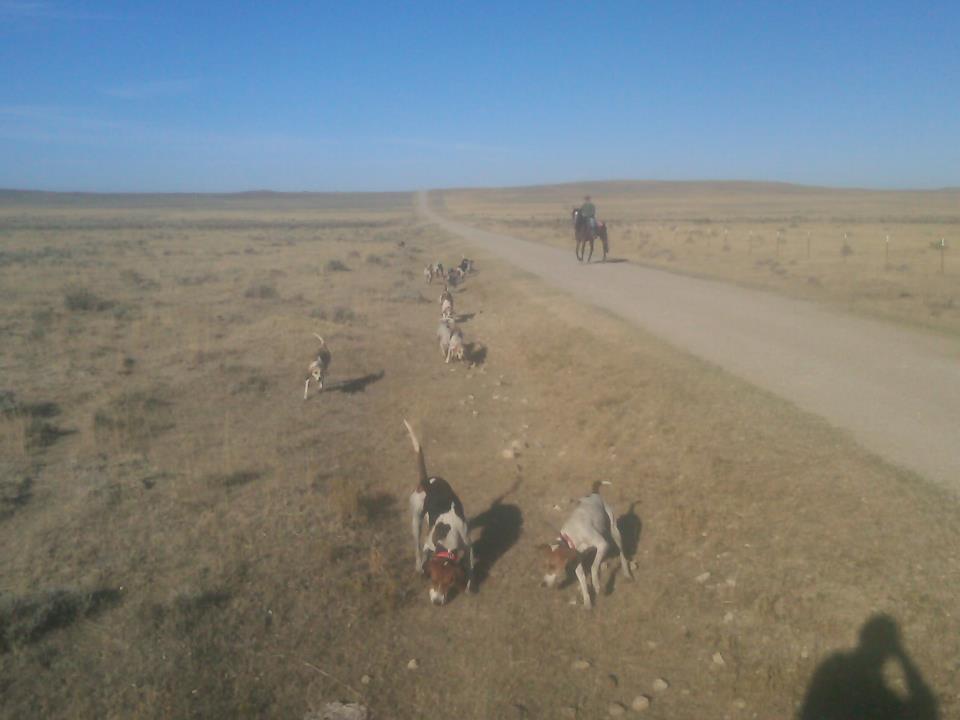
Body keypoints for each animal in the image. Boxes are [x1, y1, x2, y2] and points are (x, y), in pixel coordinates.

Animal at [404, 419, 474, 605]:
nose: (437, 602)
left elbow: (470, 568)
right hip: (416, 521)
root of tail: (426, 481)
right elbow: (425, 555)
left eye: (450, 582)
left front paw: (469, 587)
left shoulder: (468, 545)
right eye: (433, 580)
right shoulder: (428, 545)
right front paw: (422, 570)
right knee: (416, 547)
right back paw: (417, 565)